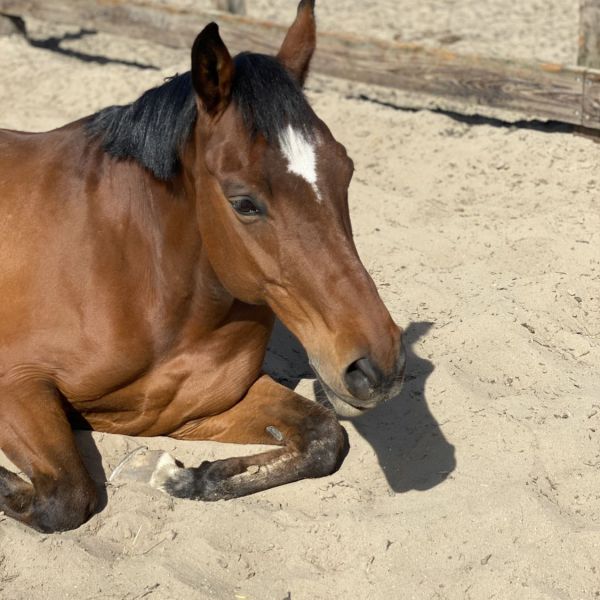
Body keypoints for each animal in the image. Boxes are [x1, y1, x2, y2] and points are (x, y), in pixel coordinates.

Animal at [0, 0, 406, 536]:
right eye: (244, 203)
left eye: (348, 170)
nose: (378, 367)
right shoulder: (16, 382)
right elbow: (65, 497)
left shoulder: (198, 408)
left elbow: (324, 437)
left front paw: (175, 475)